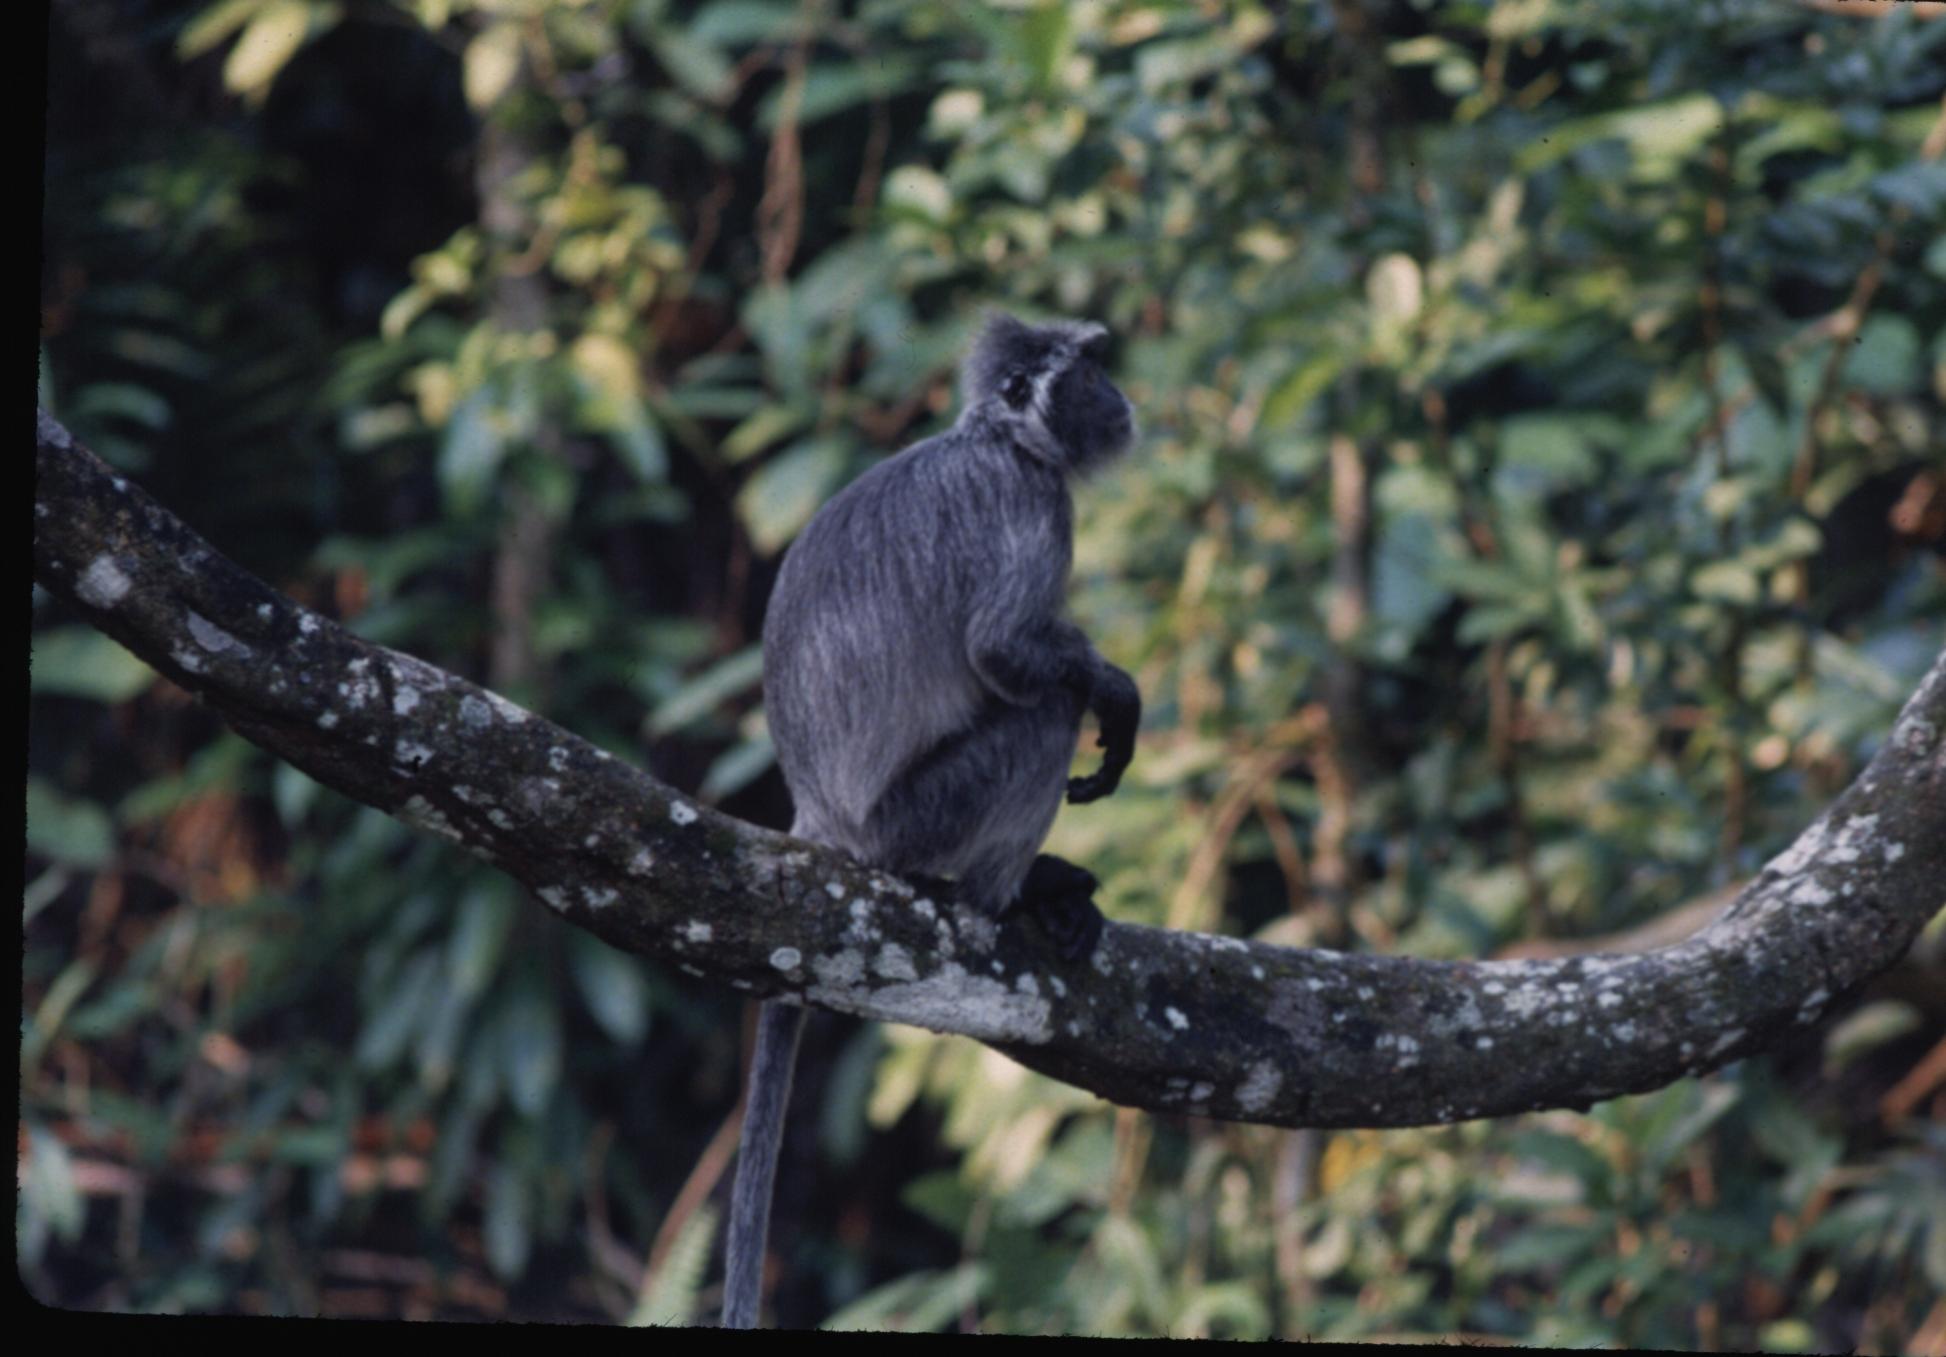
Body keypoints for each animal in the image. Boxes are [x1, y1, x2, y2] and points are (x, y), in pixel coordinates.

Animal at [720, 312, 1142, 1328]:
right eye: (1090, 371)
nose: (1121, 398)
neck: (1000, 442)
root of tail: (821, 816)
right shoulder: (1034, 507)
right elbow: (1004, 653)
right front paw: (1115, 691)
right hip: (914, 820)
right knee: (1041, 711)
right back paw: (1009, 896)